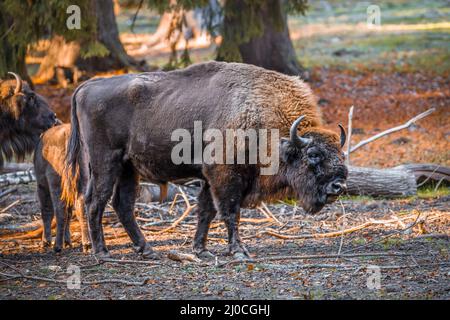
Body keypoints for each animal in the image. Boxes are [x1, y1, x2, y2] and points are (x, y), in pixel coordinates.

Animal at [64, 62, 348, 260]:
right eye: (313, 155)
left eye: (341, 154)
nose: (339, 186)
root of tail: (86, 87)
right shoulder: (225, 177)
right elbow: (230, 212)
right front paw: (238, 251)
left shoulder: (210, 181)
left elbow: (206, 212)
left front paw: (201, 250)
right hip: (105, 162)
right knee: (95, 201)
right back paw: (102, 252)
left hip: (128, 168)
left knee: (122, 205)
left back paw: (147, 250)